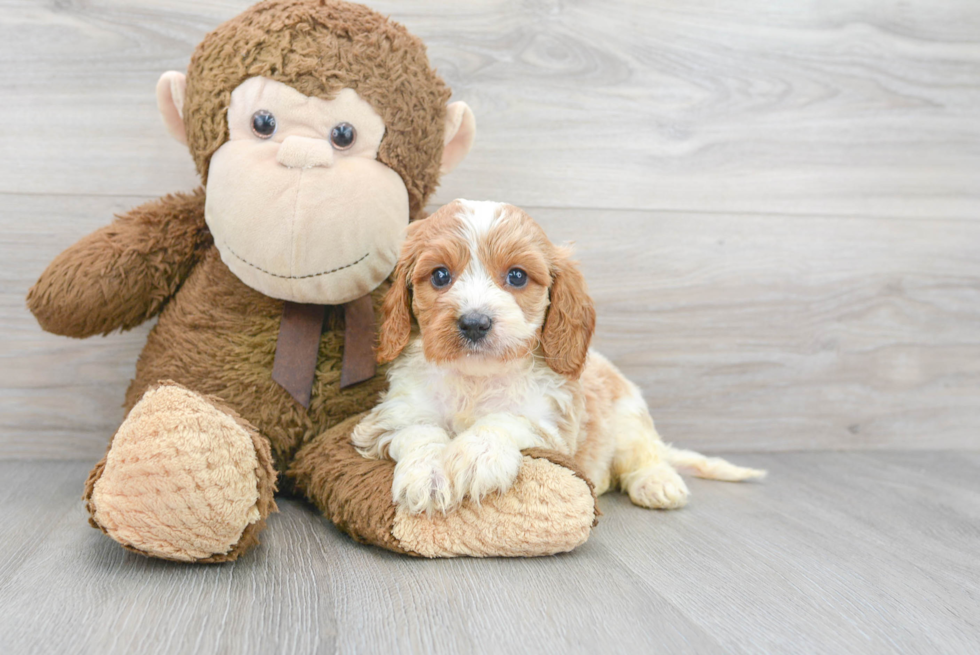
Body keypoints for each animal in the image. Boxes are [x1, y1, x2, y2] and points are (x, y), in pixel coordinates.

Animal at [352, 197, 764, 516]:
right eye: (440, 276)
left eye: (517, 276)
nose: (474, 322)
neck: (476, 378)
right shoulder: (387, 418)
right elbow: (419, 429)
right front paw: (429, 473)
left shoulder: (552, 425)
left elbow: (507, 419)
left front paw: (475, 455)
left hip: (629, 421)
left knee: (646, 457)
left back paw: (657, 483)